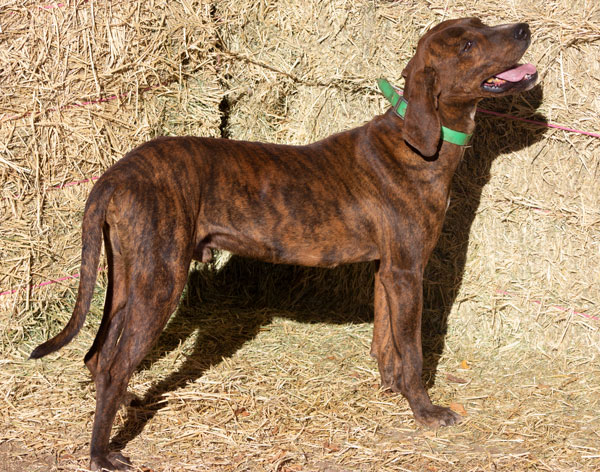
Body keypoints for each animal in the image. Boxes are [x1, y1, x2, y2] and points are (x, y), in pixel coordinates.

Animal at [31, 17, 540, 468]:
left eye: (481, 23)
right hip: (160, 282)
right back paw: (101, 455)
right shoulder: (407, 272)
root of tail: (117, 173)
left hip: (128, 279)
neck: (418, 141)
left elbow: (385, 343)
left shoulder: (387, 273)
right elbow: (412, 352)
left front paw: (392, 391)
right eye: (467, 45)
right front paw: (425, 411)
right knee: (115, 364)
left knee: (100, 359)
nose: (523, 27)